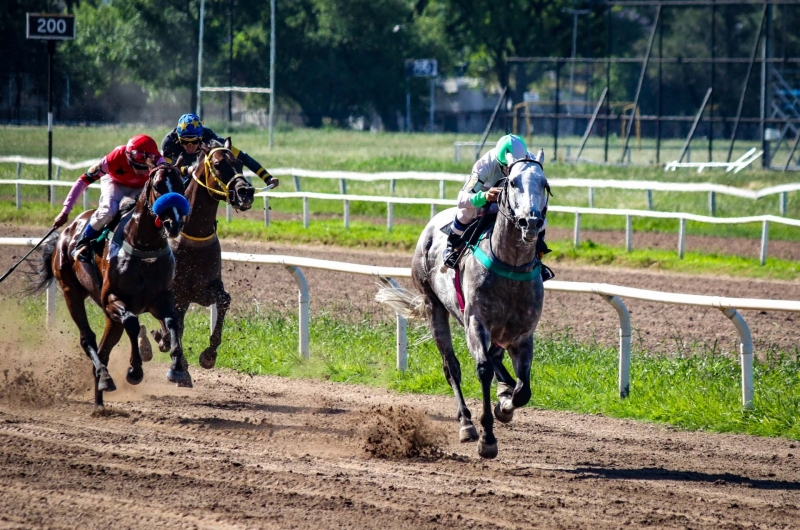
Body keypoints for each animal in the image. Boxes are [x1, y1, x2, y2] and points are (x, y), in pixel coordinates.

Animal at [29, 165, 192, 408]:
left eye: (181, 186)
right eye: (158, 186)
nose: (174, 224)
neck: (144, 247)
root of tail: (66, 233)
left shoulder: (161, 298)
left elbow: (172, 323)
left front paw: (177, 369)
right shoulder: (112, 299)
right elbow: (132, 323)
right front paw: (134, 370)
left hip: (109, 317)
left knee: (105, 349)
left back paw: (100, 401)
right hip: (71, 291)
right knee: (88, 338)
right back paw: (105, 379)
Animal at [148, 137, 258, 368]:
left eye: (239, 163)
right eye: (217, 164)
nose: (246, 192)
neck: (193, 235)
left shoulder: (203, 289)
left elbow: (224, 300)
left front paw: (209, 354)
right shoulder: (175, 290)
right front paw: (166, 341)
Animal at [376, 150, 552, 458]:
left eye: (544, 184)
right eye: (513, 182)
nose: (530, 223)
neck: (510, 265)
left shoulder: (522, 334)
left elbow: (523, 390)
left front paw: (505, 405)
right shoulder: (475, 322)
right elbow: (482, 369)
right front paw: (487, 438)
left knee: (496, 359)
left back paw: (502, 391)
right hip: (434, 306)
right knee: (452, 366)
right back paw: (467, 423)